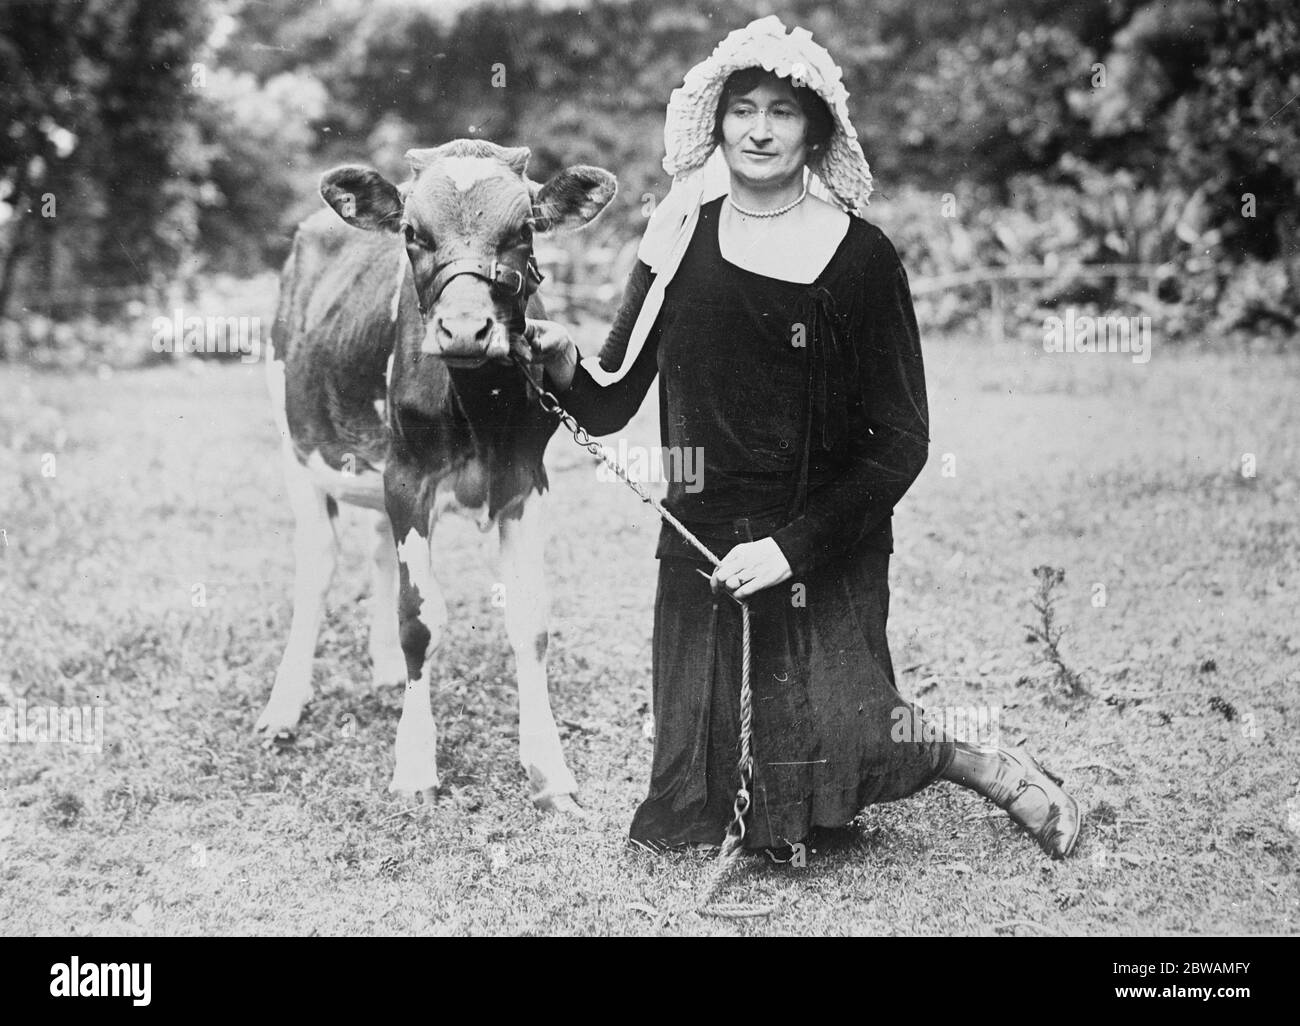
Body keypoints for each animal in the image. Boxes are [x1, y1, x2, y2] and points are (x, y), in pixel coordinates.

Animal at [260, 139, 618, 806]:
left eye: (524, 229)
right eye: (412, 232)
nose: (465, 330)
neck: (478, 405)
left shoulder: (527, 482)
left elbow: (530, 621)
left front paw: (549, 771)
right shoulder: (409, 478)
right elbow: (420, 621)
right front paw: (415, 767)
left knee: (377, 546)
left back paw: (381, 671)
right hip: (294, 445)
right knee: (317, 568)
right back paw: (283, 708)